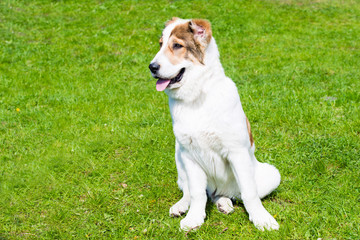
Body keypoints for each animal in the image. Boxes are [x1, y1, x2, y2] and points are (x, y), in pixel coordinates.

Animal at [148, 16, 282, 231]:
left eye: (177, 45)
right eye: (160, 44)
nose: (152, 67)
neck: (197, 98)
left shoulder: (237, 152)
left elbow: (250, 193)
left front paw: (262, 219)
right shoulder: (190, 155)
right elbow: (196, 193)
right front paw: (194, 218)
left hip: (271, 174)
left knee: (231, 194)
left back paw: (224, 203)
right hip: (179, 155)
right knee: (193, 191)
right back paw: (183, 206)